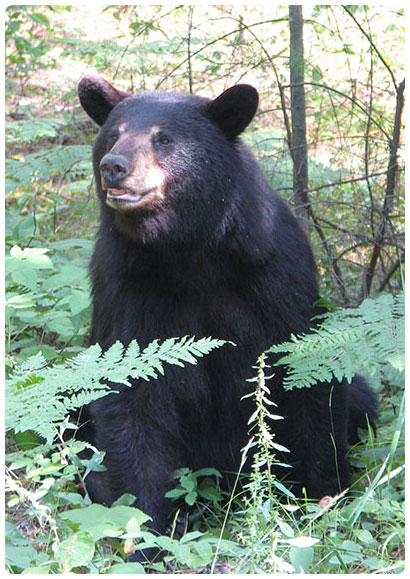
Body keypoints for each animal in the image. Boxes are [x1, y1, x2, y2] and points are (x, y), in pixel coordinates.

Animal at [77, 75, 378, 536]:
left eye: (163, 139)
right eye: (113, 134)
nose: (114, 165)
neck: (188, 248)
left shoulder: (274, 272)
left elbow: (304, 369)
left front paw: (322, 495)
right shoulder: (125, 283)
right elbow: (132, 392)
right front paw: (150, 525)